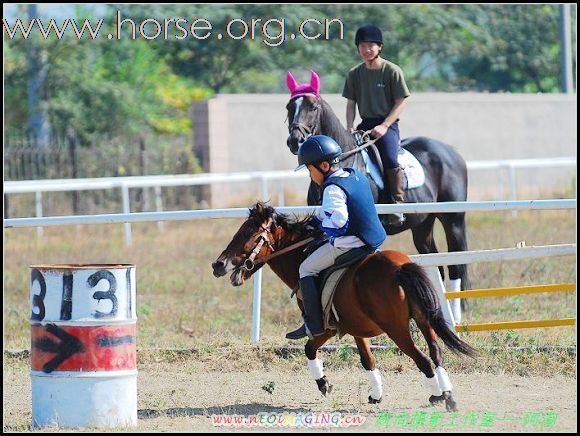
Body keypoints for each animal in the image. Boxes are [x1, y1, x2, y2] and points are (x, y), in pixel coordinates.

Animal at [212, 203, 476, 410]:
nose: (218, 265)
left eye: (248, 232)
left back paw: (438, 396)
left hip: (397, 329)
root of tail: (400, 268)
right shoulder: (357, 328)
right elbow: (367, 360)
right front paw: (375, 394)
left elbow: (309, 348)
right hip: (423, 320)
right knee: (436, 352)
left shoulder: (326, 327)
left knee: (422, 359)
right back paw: (448, 394)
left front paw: (324, 384)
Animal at [286, 71, 472, 322]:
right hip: (423, 225)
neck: (341, 162)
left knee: (457, 264)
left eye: (313, 107)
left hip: (453, 220)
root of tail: (451, 151)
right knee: (436, 263)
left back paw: (459, 311)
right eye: (289, 107)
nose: (295, 141)